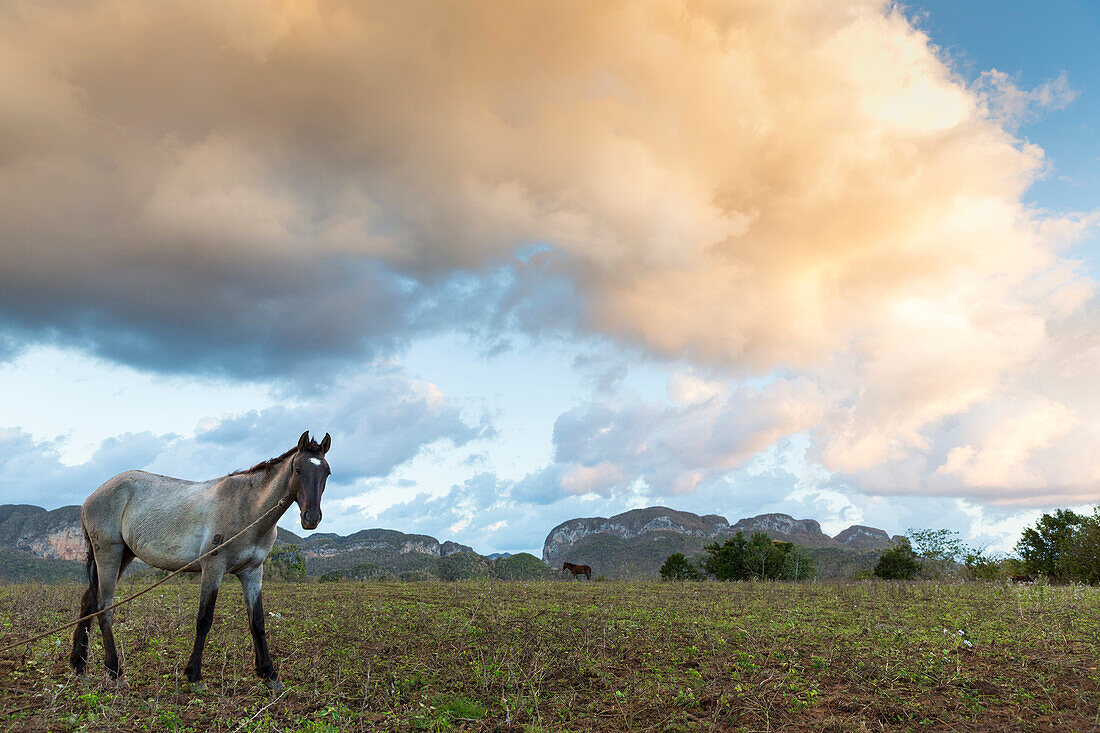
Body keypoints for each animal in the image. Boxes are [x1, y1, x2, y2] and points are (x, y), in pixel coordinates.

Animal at [69, 429, 330, 686]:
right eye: (298, 470)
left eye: (326, 472)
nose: (311, 518)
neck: (246, 507)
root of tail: (92, 497)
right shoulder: (213, 567)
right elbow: (204, 619)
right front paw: (194, 675)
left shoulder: (253, 572)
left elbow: (257, 621)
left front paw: (269, 673)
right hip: (109, 554)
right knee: (104, 608)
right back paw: (114, 671)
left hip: (123, 555)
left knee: (89, 602)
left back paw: (80, 666)